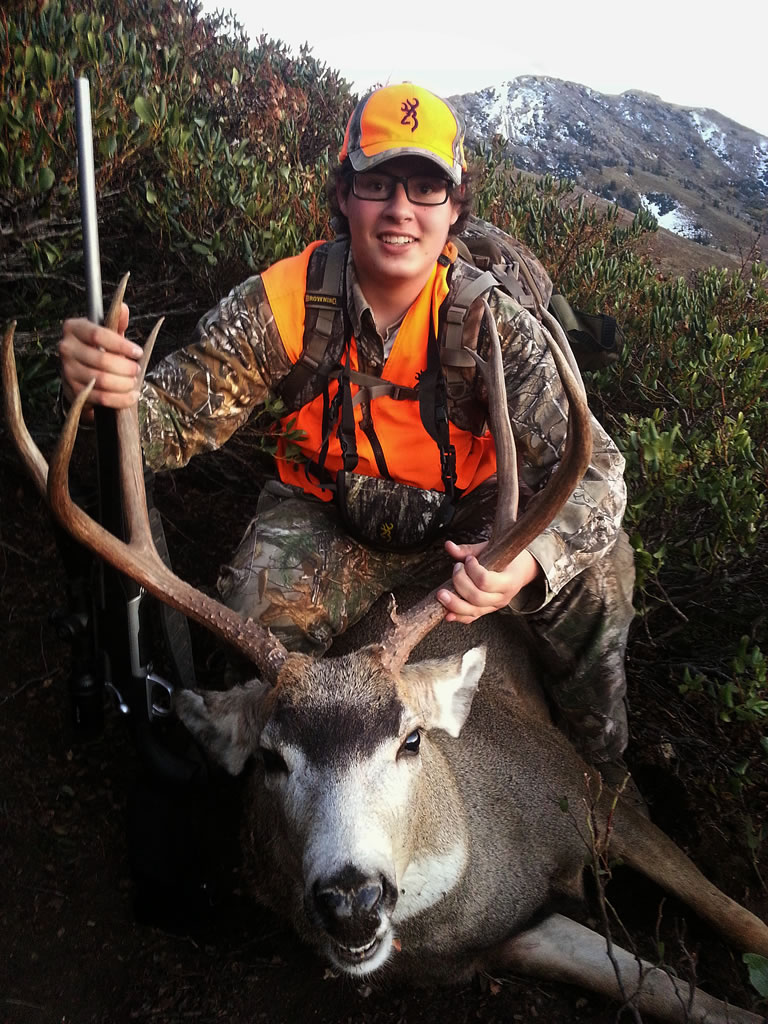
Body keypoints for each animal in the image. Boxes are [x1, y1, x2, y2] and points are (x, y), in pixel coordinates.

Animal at [3, 280, 768, 1024]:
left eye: (410, 740)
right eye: (269, 758)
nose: (352, 902)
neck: (478, 852)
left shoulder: (588, 794)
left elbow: (742, 923)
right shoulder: (514, 937)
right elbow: (676, 993)